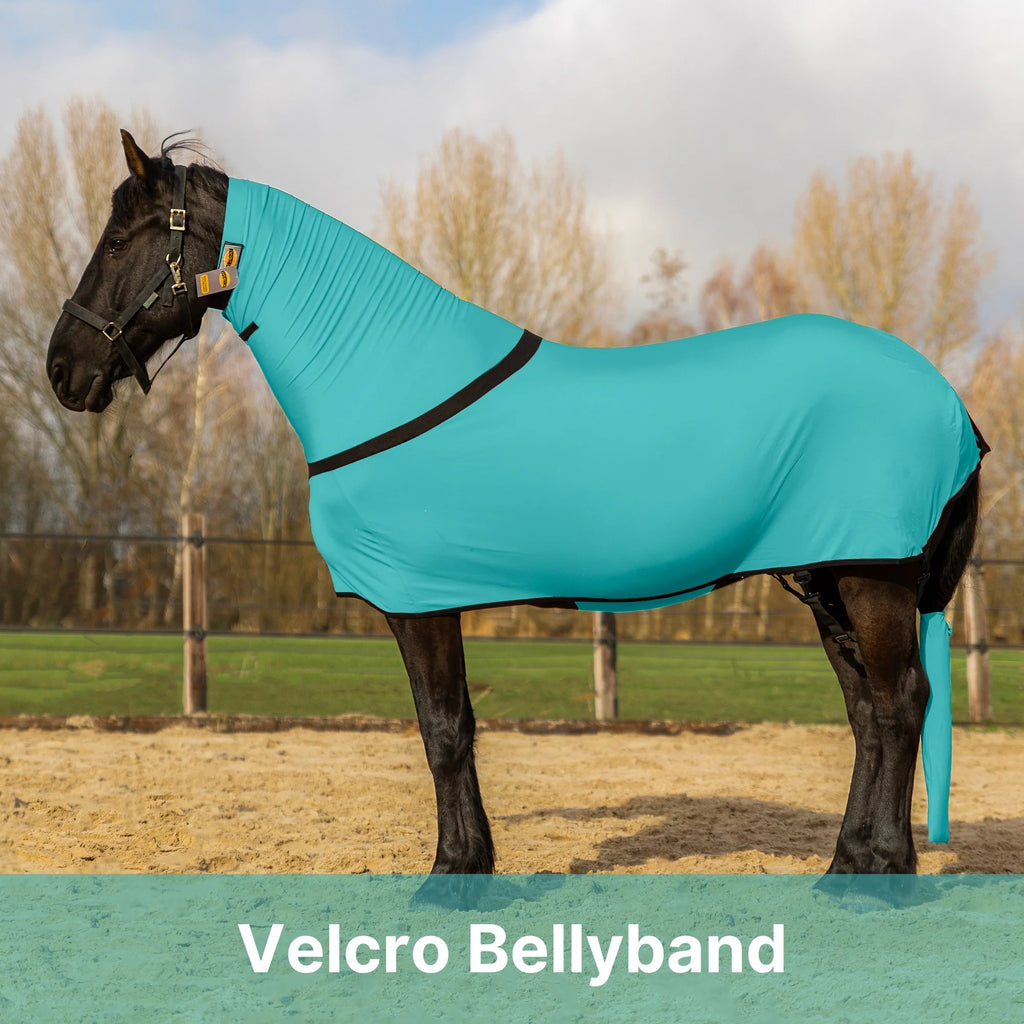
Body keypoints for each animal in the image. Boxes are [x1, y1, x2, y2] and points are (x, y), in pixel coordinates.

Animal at [46, 131, 985, 879]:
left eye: (121, 239)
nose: (62, 370)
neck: (387, 377)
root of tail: (953, 406)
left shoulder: (419, 599)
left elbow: (443, 729)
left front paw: (453, 871)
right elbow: (451, 726)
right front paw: (469, 860)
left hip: (872, 577)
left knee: (900, 702)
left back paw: (882, 869)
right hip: (828, 577)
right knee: (867, 713)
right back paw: (847, 861)